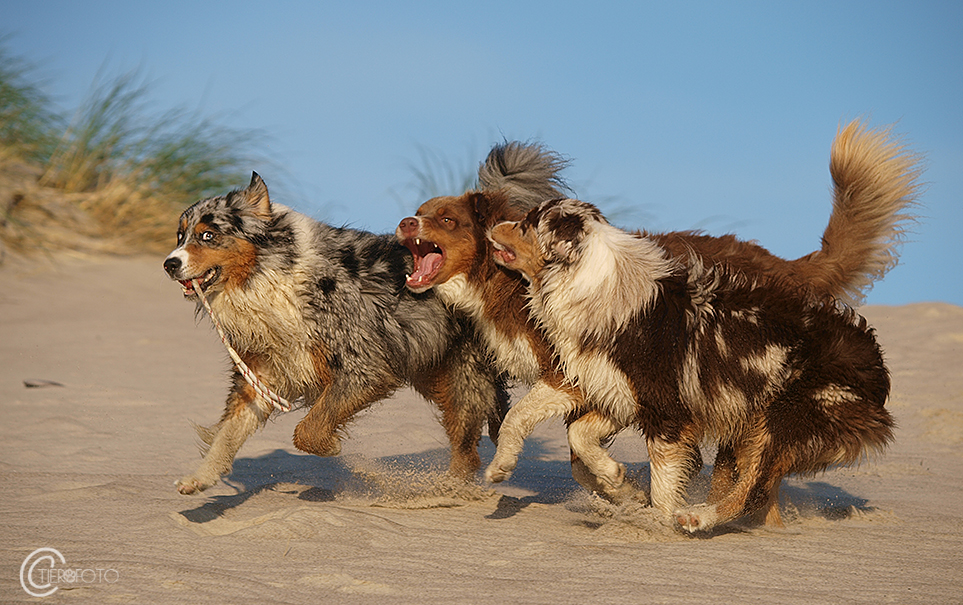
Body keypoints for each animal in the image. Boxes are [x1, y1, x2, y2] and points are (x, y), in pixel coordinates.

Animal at [490, 196, 896, 532]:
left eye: (526, 223)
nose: (492, 226)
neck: (593, 285)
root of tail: (874, 358)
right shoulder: (615, 391)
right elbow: (564, 429)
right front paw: (613, 478)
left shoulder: (667, 412)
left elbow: (662, 482)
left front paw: (655, 519)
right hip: (748, 424)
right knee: (757, 493)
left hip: (783, 420)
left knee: (751, 492)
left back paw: (698, 517)